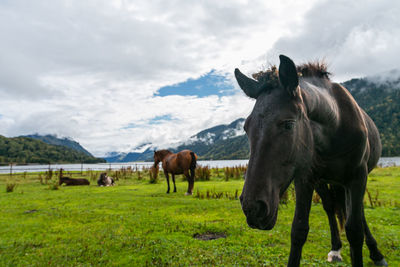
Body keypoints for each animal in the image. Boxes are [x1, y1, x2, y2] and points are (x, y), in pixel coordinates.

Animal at [236, 55, 386, 266]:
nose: (253, 207)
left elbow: (355, 231)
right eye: (246, 128)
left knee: (358, 216)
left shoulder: (358, 176)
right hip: (325, 182)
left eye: (288, 124)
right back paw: (336, 248)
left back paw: (376, 253)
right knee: (330, 207)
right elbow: (299, 230)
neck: (336, 124)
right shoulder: (305, 179)